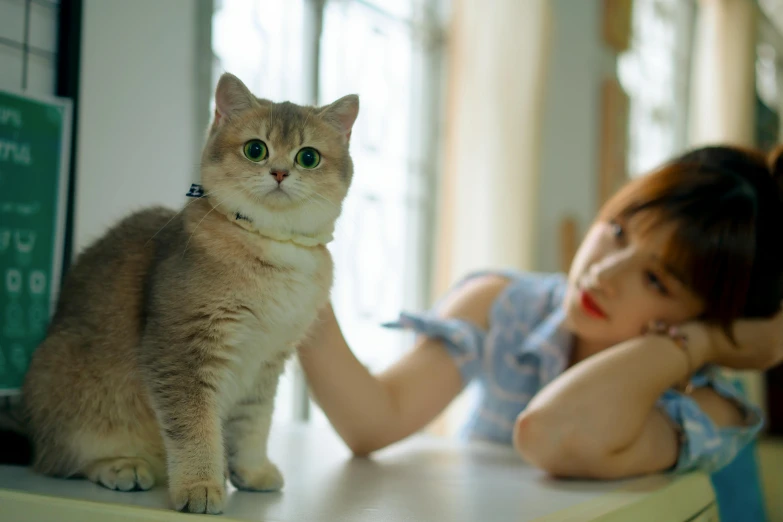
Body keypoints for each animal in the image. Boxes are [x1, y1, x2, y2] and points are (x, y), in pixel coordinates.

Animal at [21, 73, 358, 512]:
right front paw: (200, 486)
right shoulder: (181, 349)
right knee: (60, 459)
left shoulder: (266, 362)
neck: (273, 247)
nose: (280, 173)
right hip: (66, 385)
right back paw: (120, 465)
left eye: (308, 157)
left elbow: (253, 423)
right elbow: (195, 427)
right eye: (256, 150)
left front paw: (250, 471)